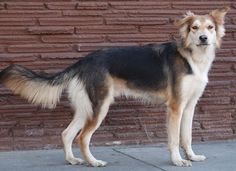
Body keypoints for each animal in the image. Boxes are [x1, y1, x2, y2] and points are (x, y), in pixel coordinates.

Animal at [0, 7, 229, 166]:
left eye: (210, 27)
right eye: (194, 27)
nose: (203, 38)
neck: (192, 56)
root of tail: (85, 60)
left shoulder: (189, 106)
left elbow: (187, 136)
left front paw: (192, 156)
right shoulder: (175, 107)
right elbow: (174, 139)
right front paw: (178, 160)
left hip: (87, 107)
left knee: (67, 133)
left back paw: (72, 160)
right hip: (100, 107)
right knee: (82, 137)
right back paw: (93, 162)